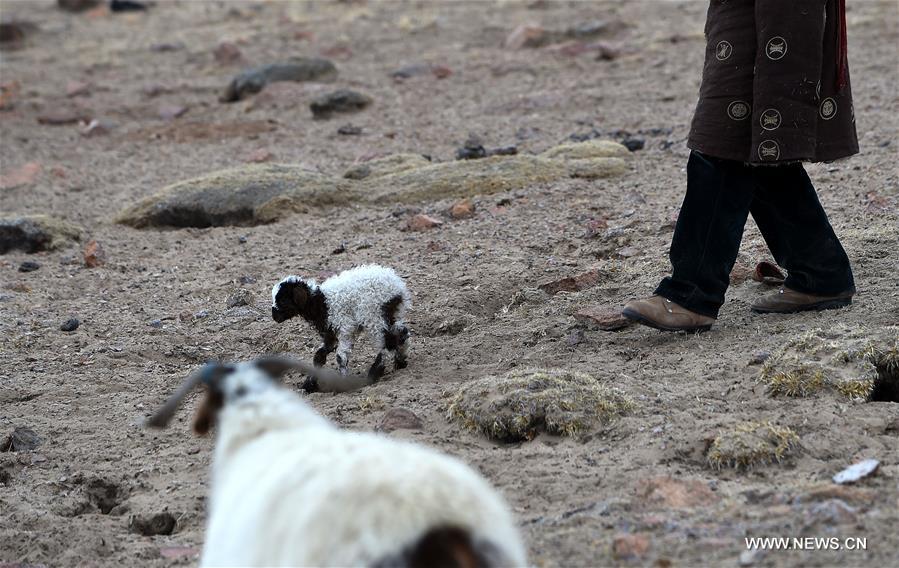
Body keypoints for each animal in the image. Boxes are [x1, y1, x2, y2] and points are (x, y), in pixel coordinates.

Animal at [270, 264, 412, 388]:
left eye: (283, 300)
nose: (274, 316)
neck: (320, 302)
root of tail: (397, 286)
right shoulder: (330, 332)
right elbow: (319, 356)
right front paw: (309, 384)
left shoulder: (344, 326)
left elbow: (340, 357)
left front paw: (343, 383)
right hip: (390, 314)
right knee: (401, 332)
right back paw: (401, 362)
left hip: (374, 314)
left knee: (387, 342)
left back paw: (374, 373)